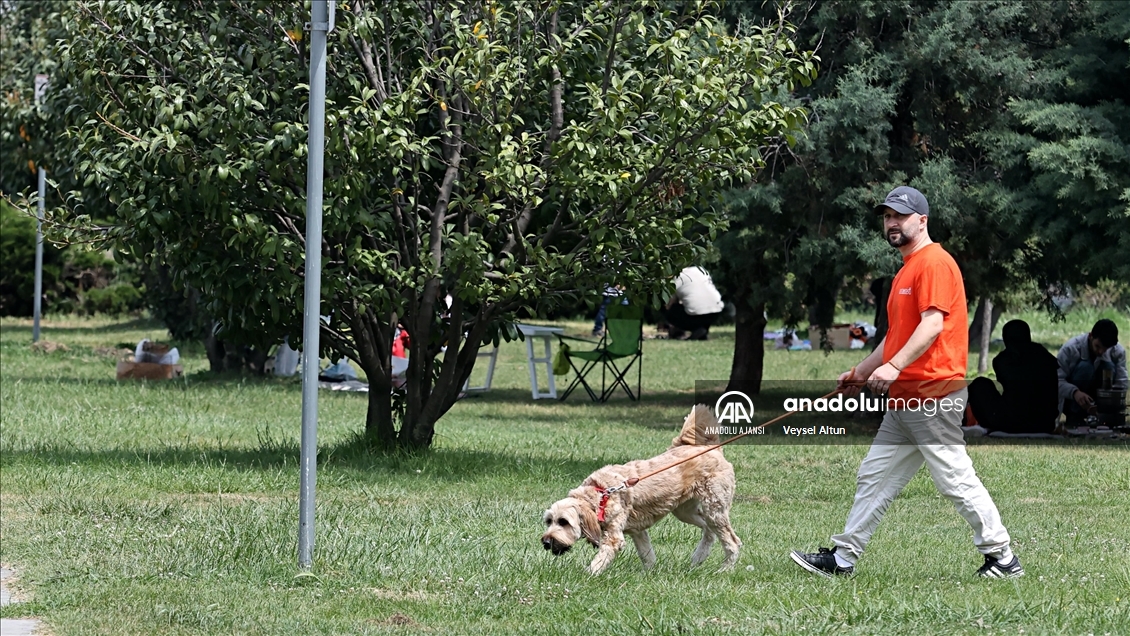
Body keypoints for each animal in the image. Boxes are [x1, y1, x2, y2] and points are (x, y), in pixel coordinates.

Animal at [540, 408, 741, 578]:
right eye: (549, 521)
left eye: (564, 522)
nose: (546, 542)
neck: (601, 494)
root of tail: (712, 449)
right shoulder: (637, 531)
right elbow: (647, 555)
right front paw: (649, 574)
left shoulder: (614, 538)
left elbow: (600, 560)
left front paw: (587, 575)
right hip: (686, 511)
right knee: (708, 531)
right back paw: (698, 558)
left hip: (714, 509)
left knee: (732, 542)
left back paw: (725, 570)